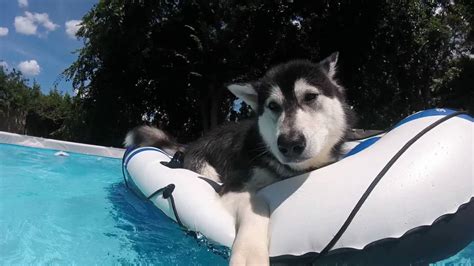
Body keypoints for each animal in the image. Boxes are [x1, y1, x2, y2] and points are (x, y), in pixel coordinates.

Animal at [124, 51, 354, 264]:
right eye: (273, 105)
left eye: (310, 97)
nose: (289, 144)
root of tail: (192, 144)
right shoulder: (235, 184)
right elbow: (256, 204)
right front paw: (250, 253)